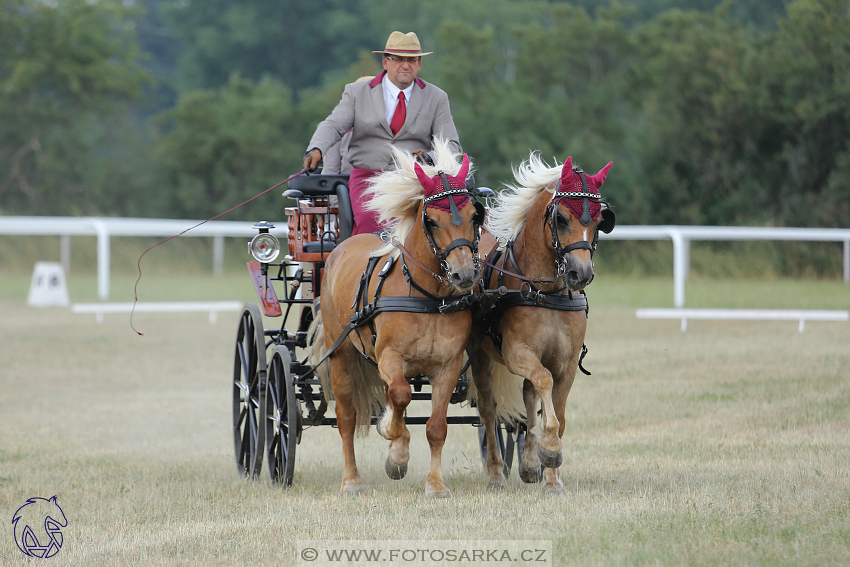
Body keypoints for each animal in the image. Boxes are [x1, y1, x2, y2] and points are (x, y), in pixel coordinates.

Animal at [312, 139, 484, 496]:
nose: (463, 274)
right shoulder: (389, 357)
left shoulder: (448, 367)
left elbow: (436, 427)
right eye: (431, 220)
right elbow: (401, 396)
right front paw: (395, 446)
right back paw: (351, 480)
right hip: (342, 354)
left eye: (474, 216)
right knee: (347, 417)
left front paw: (435, 484)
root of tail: (341, 247)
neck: (429, 298)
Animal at [470, 154, 608, 492]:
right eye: (561, 218)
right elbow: (544, 384)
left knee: (528, 397)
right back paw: (496, 473)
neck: (546, 292)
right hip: (480, 357)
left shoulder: (567, 363)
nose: (580, 273)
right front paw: (549, 450)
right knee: (489, 410)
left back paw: (530, 463)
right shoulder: (517, 353)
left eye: (600, 221)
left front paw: (550, 474)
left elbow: (557, 411)